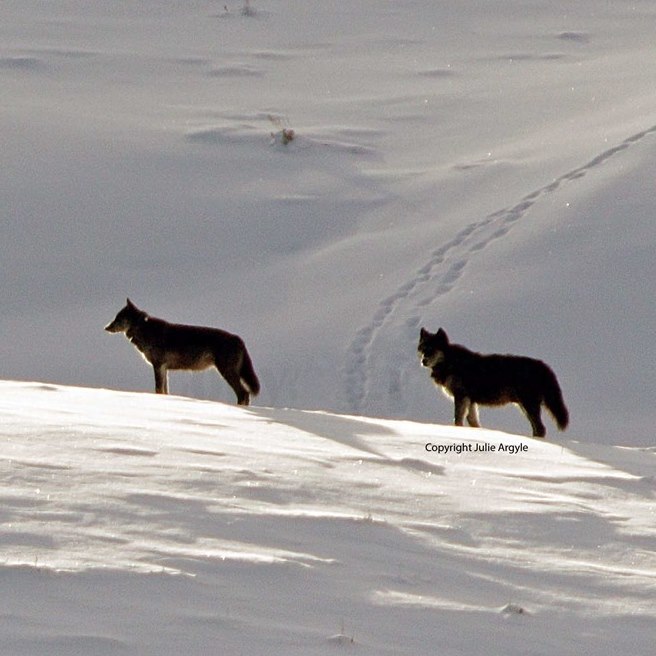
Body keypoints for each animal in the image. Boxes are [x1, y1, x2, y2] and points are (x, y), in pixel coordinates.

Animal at [104, 298, 260, 404]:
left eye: (118, 319)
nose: (106, 327)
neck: (143, 329)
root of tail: (239, 339)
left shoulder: (158, 365)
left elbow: (158, 389)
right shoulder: (164, 368)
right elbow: (164, 391)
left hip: (226, 372)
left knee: (243, 394)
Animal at [420, 326, 568, 438]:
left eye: (432, 349)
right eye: (422, 349)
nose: (423, 361)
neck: (451, 362)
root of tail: (543, 366)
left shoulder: (461, 397)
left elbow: (458, 420)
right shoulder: (470, 401)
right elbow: (473, 421)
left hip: (528, 405)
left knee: (541, 429)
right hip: (524, 406)